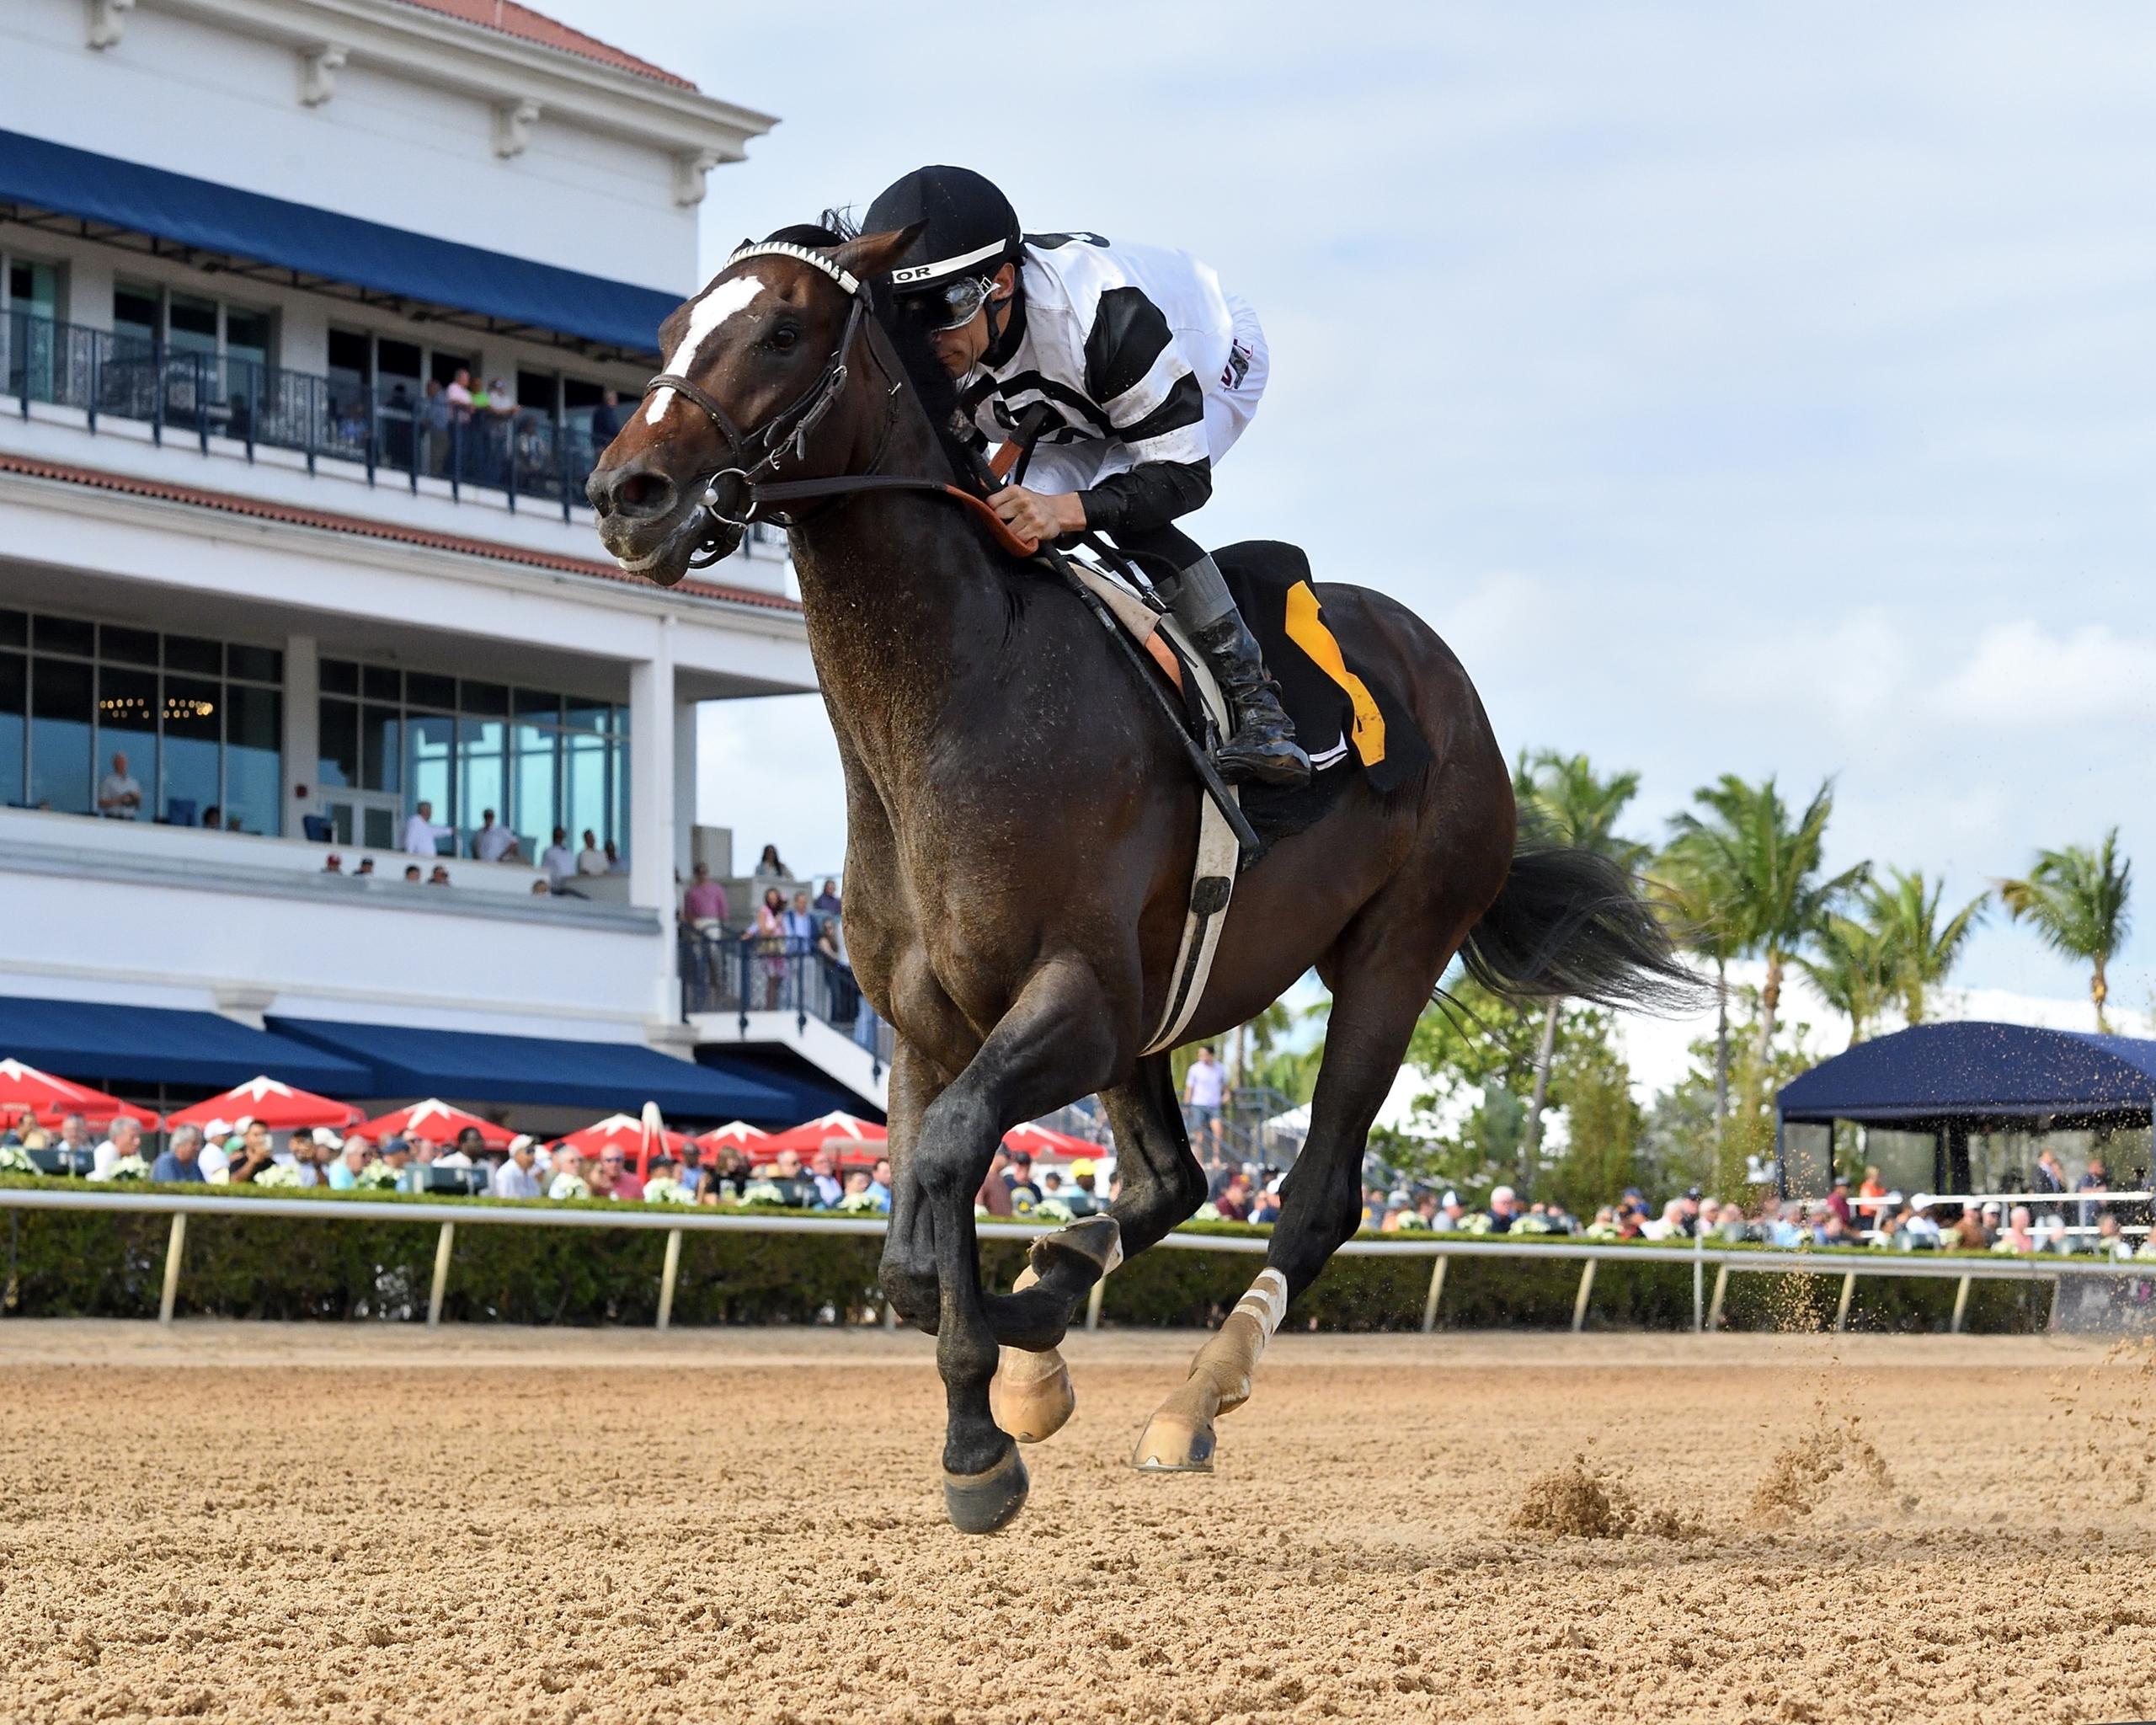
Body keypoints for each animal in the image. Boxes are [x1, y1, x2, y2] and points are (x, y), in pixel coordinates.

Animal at [586, 223, 1692, 1533]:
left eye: (782, 330)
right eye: (671, 330)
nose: (627, 494)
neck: (954, 703)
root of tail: (1445, 676)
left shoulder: (1080, 993)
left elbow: (950, 1162)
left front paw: (983, 1432)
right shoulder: (929, 1019)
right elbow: (912, 1243)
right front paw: (1013, 1365)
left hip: (1394, 949)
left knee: (1314, 1195)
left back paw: (1191, 1399)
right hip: (1165, 1007)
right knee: (1176, 1175)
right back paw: (1055, 1311)